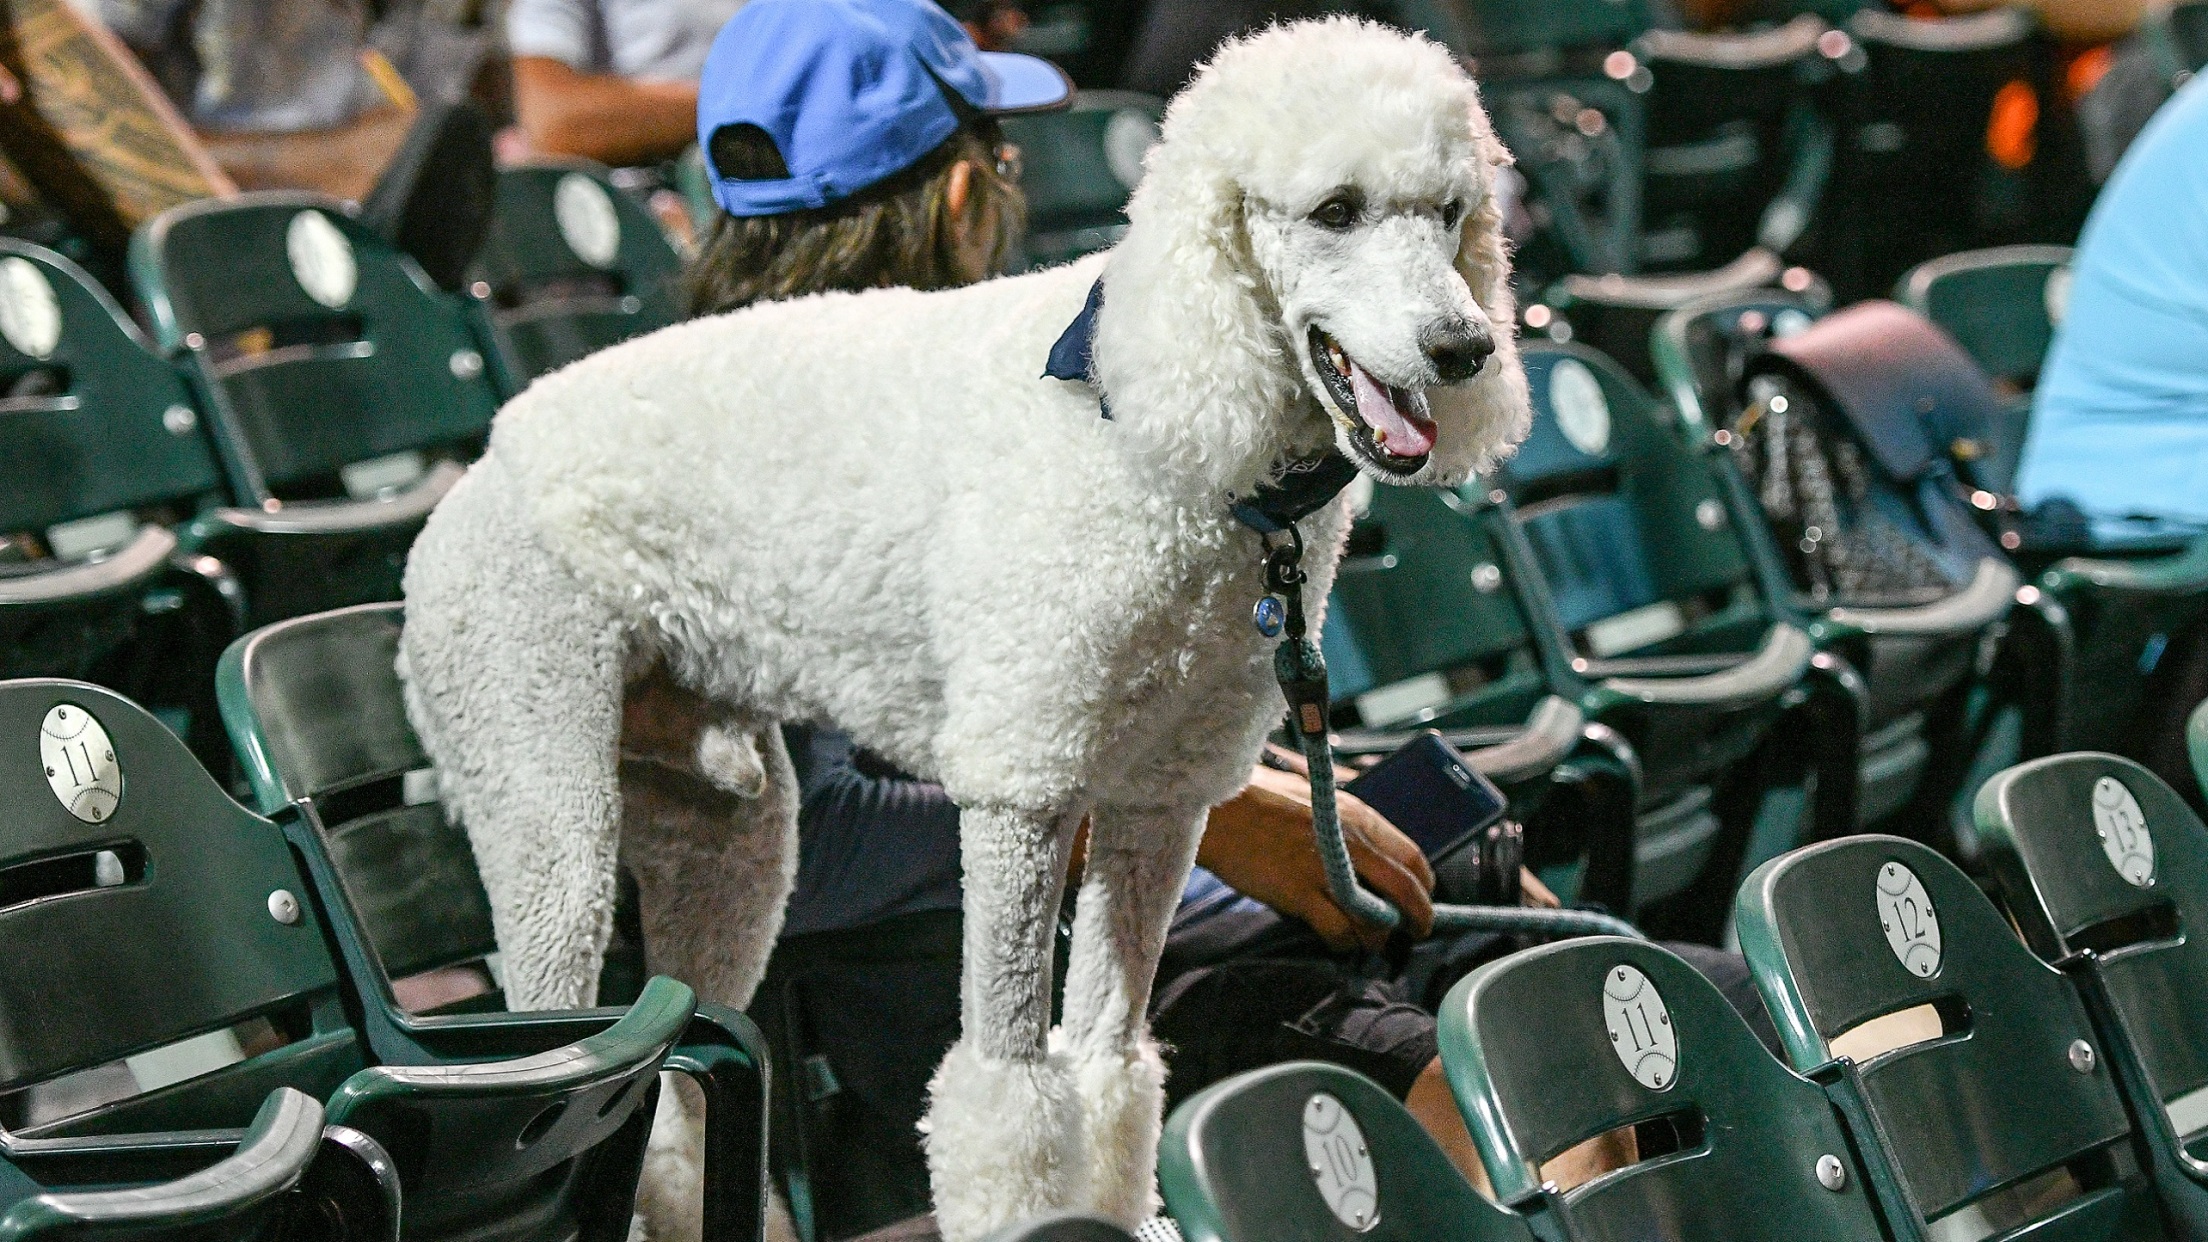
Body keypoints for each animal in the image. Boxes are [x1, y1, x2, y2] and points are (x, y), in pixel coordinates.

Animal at [399, 17, 1528, 1238]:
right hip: (543, 793)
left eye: (1452, 213)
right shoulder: (1022, 784)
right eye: (1335, 211)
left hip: (727, 840)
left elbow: (1110, 1063)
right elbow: (1004, 1091)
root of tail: (478, 473)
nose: (1464, 348)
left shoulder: (1161, 794)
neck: (1155, 422)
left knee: (667, 1107)